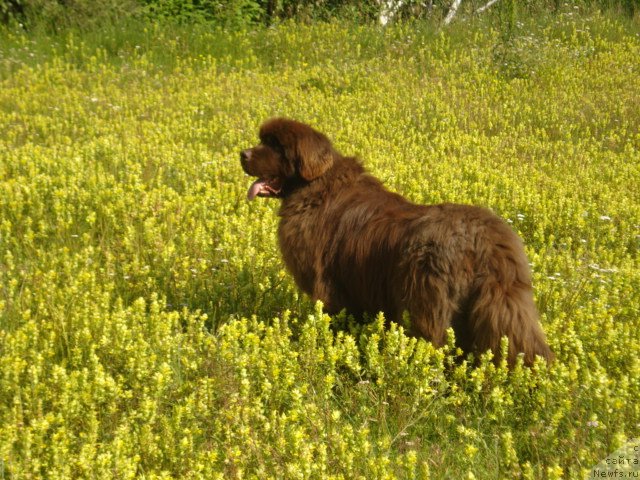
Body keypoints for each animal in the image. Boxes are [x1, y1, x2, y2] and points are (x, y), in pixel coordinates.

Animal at [240, 118, 552, 366]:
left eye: (275, 146)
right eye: (262, 141)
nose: (242, 154)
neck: (314, 187)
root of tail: (485, 240)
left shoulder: (329, 287)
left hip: (426, 300)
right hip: (505, 302)